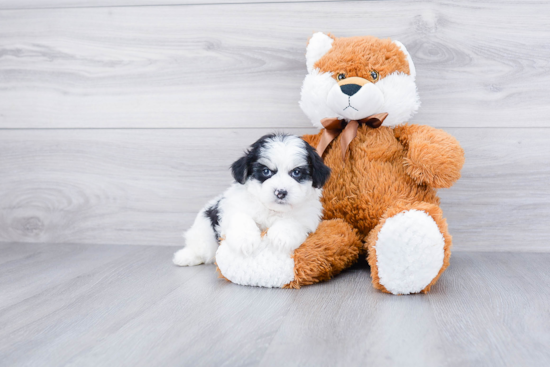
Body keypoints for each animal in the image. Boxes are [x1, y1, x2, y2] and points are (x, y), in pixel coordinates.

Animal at [172, 134, 332, 288]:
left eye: (297, 173)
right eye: (266, 171)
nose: (280, 192)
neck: (272, 210)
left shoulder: (308, 215)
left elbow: (293, 221)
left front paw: (281, 235)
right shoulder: (234, 206)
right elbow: (241, 217)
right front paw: (245, 240)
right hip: (204, 229)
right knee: (200, 246)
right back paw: (185, 256)